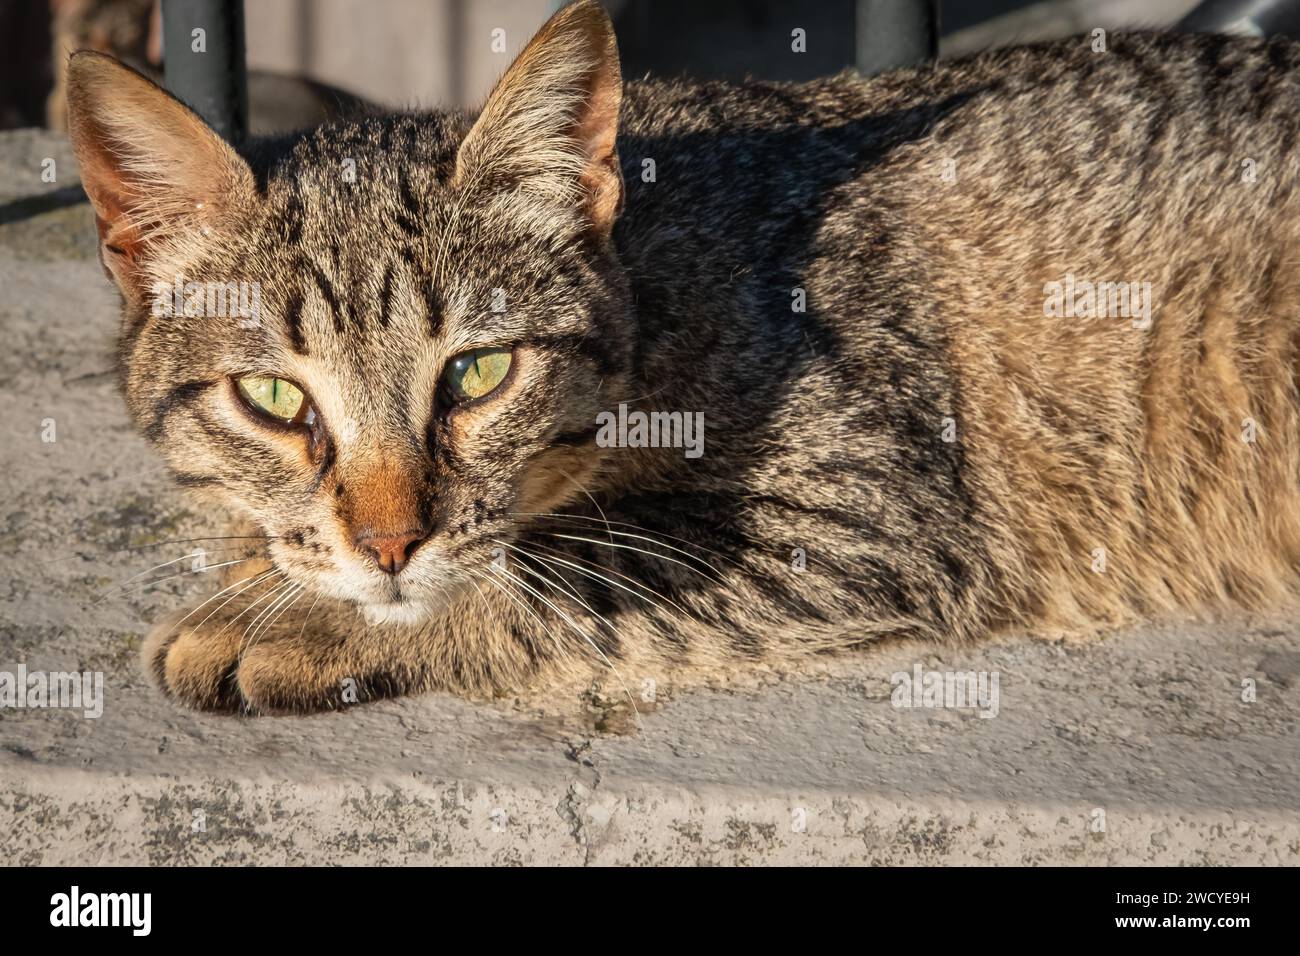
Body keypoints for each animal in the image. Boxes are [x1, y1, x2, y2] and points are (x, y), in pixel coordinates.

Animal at [65, 3, 1300, 712]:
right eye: (274, 396)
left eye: (476, 374)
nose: (387, 543)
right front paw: (276, 568)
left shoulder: (861, 511)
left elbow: (558, 572)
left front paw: (291, 622)